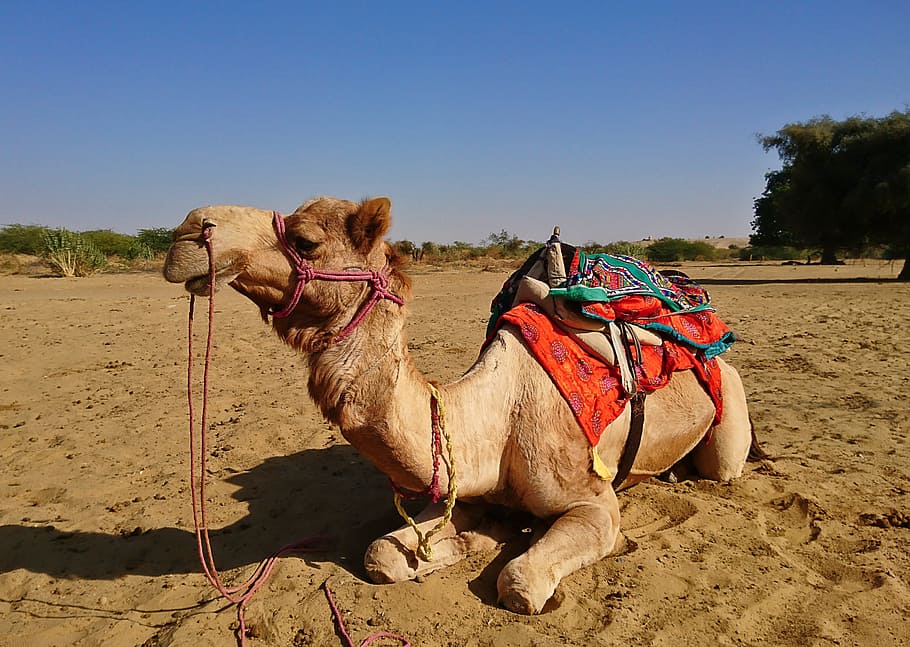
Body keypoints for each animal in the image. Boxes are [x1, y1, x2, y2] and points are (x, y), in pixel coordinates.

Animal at [163, 196, 754, 614]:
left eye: (305, 241)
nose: (190, 229)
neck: (496, 418)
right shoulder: (461, 489)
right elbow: (381, 553)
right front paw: (475, 538)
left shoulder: (595, 503)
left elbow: (520, 581)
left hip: (728, 404)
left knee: (721, 466)